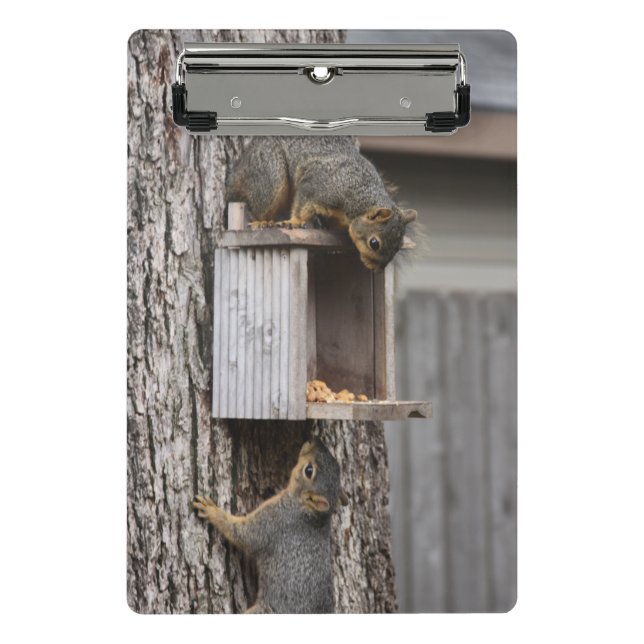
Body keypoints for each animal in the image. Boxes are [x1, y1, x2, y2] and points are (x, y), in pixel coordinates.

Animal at [192, 437, 349, 614]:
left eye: (309, 471)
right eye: (336, 466)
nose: (314, 440)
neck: (311, 514)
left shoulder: (274, 522)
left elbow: (244, 535)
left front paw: (211, 510)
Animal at [225, 136, 417, 271]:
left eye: (399, 246)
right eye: (374, 243)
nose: (377, 270)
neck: (359, 196)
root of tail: (239, 168)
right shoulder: (317, 188)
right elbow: (302, 206)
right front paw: (294, 222)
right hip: (270, 173)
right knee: (260, 205)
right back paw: (262, 222)